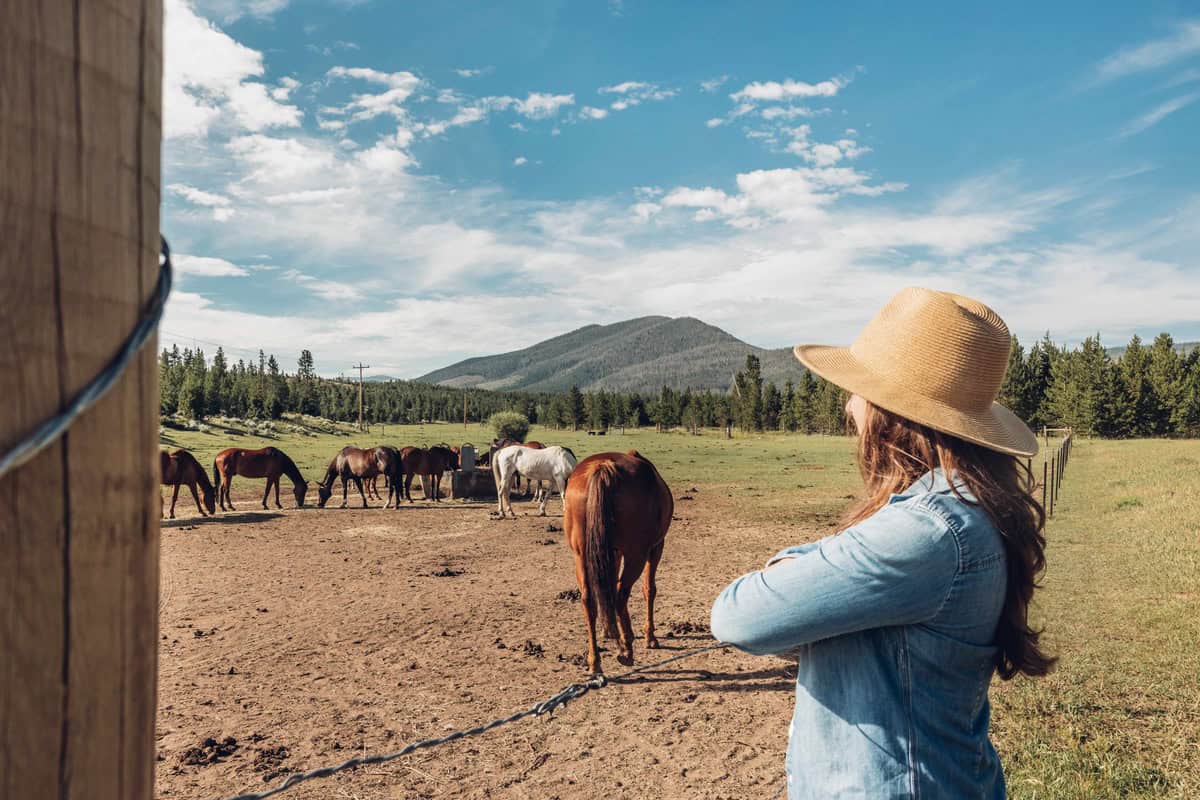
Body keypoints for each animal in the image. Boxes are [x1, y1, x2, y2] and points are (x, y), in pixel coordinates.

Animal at [564, 450, 676, 676]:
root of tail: (603, 467)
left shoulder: (610, 553)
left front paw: (608, 630)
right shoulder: (656, 547)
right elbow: (649, 589)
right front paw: (650, 636)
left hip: (581, 556)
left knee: (589, 600)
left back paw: (595, 661)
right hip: (636, 555)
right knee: (620, 594)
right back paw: (627, 649)